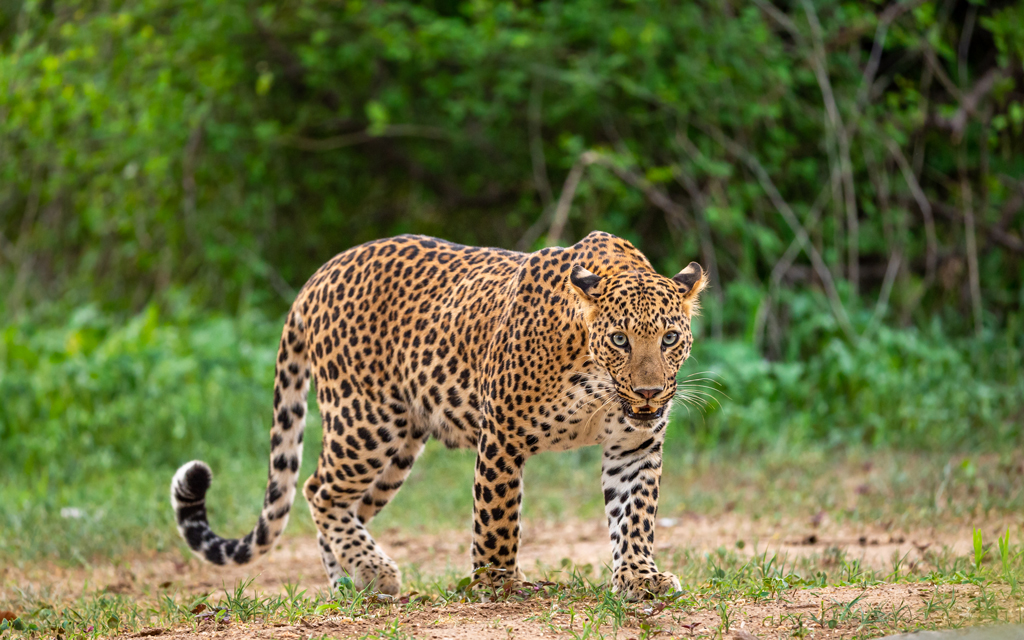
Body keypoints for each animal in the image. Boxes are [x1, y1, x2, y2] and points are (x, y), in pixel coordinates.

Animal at [172, 230, 708, 598]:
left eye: (670, 338)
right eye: (619, 339)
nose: (649, 392)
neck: (597, 383)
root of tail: (317, 277)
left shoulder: (634, 445)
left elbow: (635, 516)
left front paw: (640, 578)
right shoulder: (502, 435)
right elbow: (497, 517)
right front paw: (497, 584)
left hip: (398, 450)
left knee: (345, 506)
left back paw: (350, 583)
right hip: (365, 422)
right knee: (318, 489)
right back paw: (374, 572)